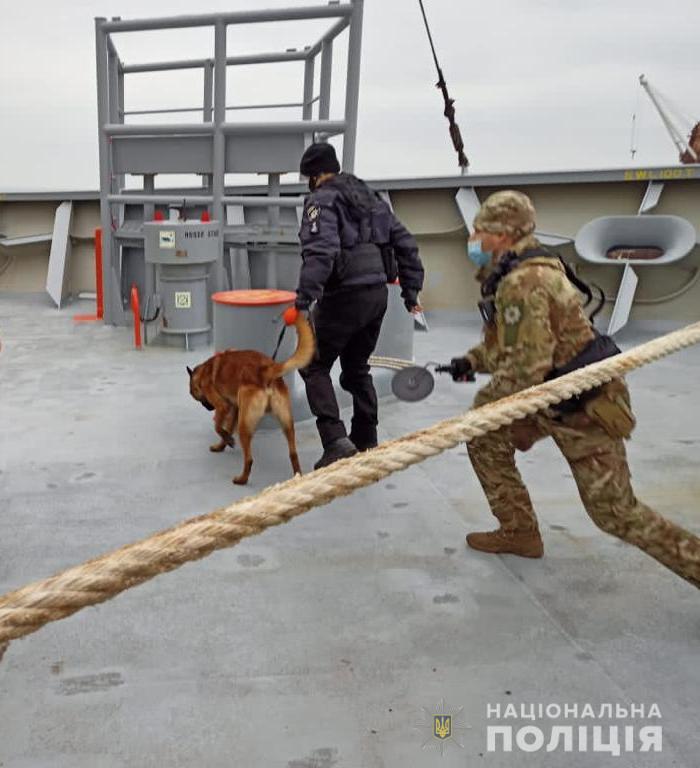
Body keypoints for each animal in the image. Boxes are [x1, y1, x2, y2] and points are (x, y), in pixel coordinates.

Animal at [189, 314, 314, 486]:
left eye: (194, 395)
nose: (208, 407)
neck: (203, 371)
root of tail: (266, 371)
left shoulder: (223, 406)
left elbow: (218, 428)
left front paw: (226, 440)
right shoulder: (235, 409)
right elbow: (227, 429)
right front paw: (223, 444)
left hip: (245, 426)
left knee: (249, 459)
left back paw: (242, 478)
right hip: (287, 423)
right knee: (293, 453)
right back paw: (297, 476)